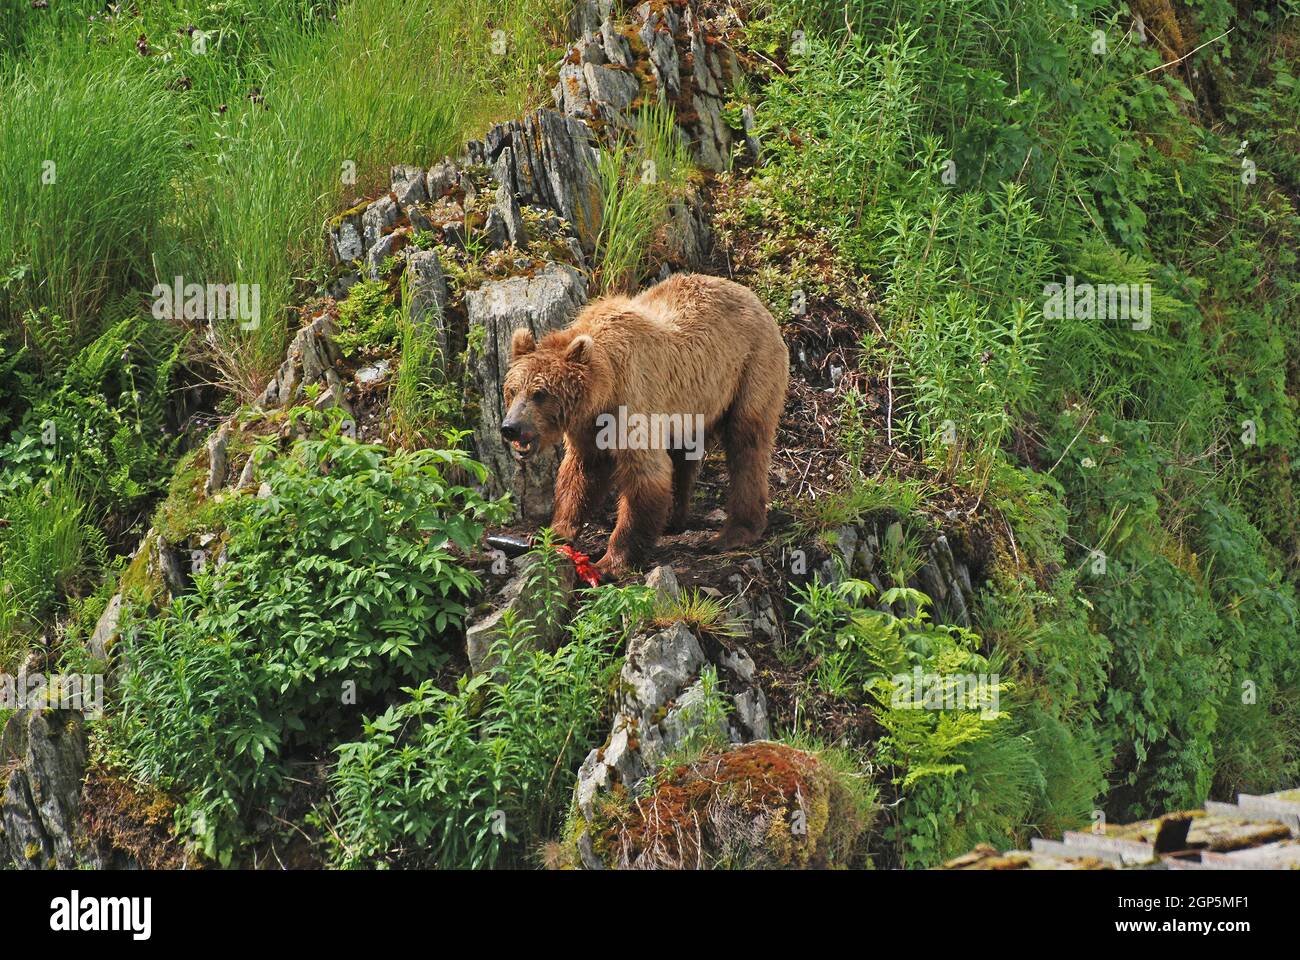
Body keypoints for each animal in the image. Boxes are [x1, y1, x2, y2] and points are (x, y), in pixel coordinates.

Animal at [500, 272, 789, 578]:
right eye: (512, 390)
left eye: (540, 393)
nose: (510, 427)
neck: (604, 387)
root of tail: (752, 296)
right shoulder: (588, 426)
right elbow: (581, 472)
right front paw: (552, 533)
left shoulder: (632, 400)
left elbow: (645, 474)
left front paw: (611, 562)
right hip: (690, 406)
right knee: (684, 454)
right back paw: (675, 517)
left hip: (751, 368)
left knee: (746, 444)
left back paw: (734, 532)